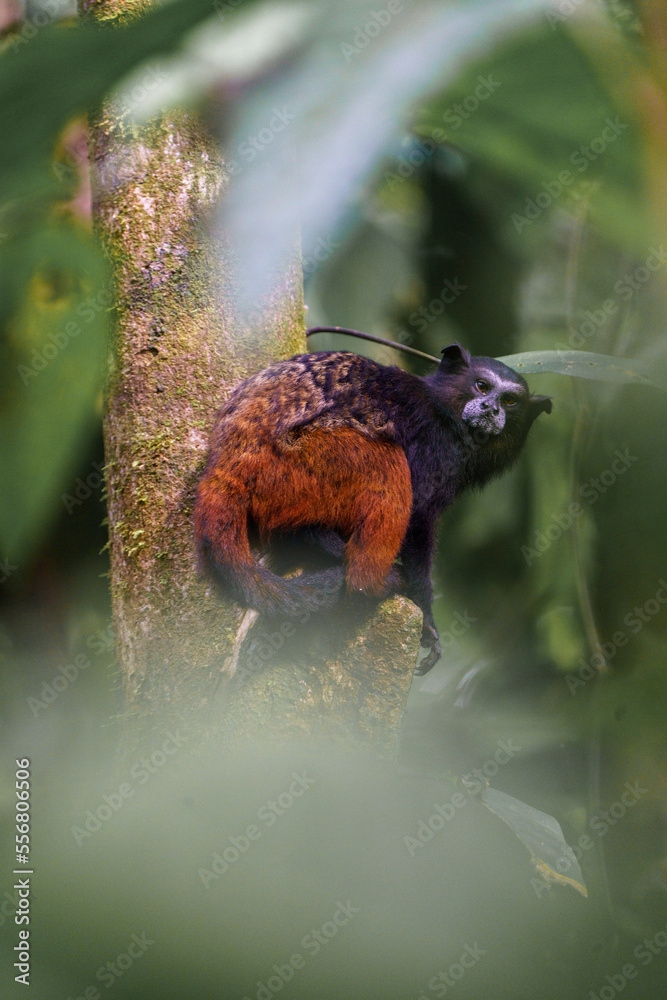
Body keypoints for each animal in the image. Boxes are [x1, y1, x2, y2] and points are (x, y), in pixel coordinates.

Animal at [194, 344, 552, 675]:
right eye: (482, 387)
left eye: (510, 402)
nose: (491, 408)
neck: (449, 416)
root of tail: (229, 462)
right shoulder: (434, 445)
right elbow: (418, 515)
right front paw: (427, 615)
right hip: (296, 464)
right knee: (385, 457)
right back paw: (369, 579)